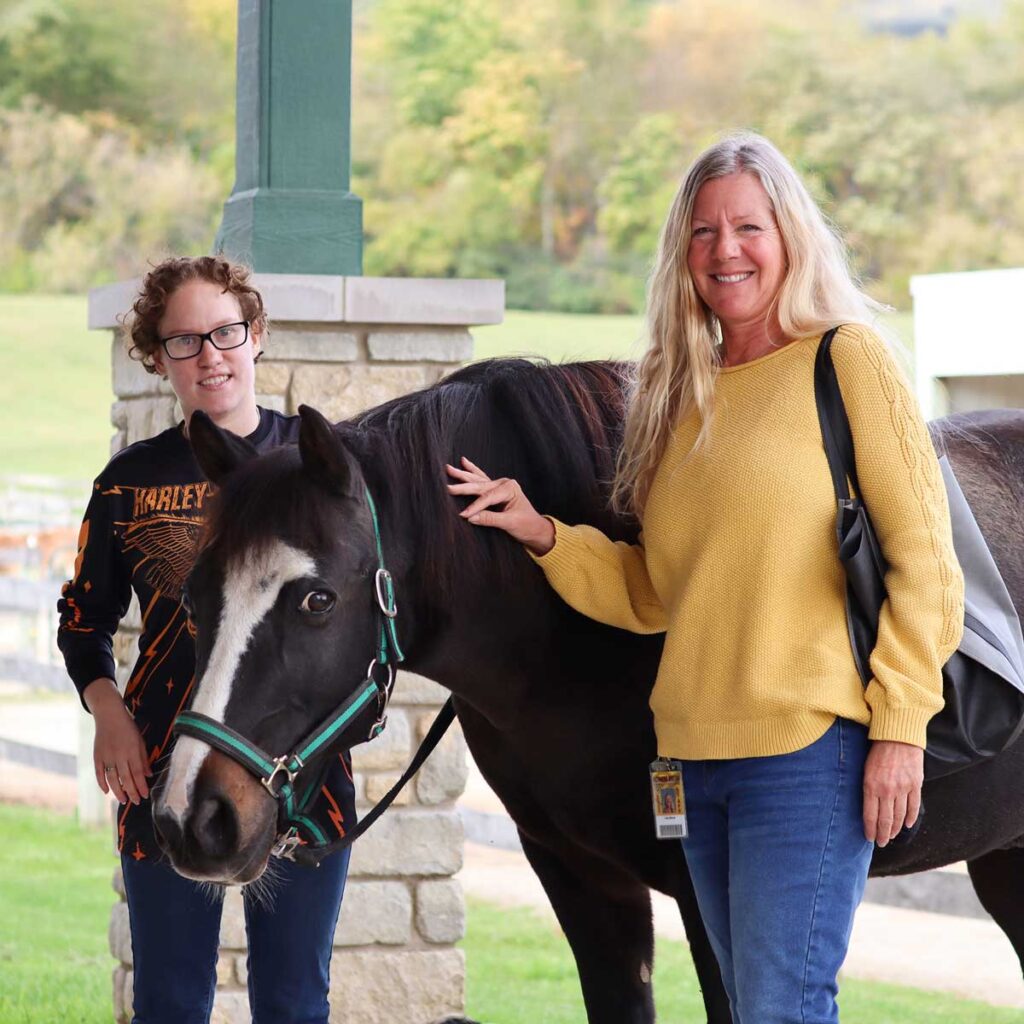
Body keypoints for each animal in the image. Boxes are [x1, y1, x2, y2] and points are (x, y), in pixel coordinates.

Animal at [151, 358, 1024, 1024]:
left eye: (316, 600)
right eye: (194, 599)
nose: (193, 817)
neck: (573, 645)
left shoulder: (712, 894)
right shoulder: (578, 878)